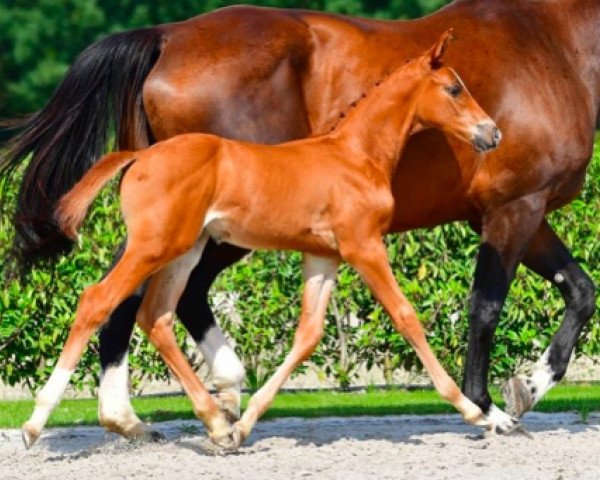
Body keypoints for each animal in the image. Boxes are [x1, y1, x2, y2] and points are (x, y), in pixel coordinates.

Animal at [0, 0, 596, 436]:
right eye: (454, 87)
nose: (491, 134)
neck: (556, 44)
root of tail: (167, 37)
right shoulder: (512, 208)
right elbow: (482, 307)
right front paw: (491, 407)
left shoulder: (526, 215)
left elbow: (580, 291)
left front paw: (528, 387)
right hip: (203, 233)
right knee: (130, 295)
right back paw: (129, 413)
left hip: (187, 232)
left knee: (148, 297)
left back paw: (172, 408)